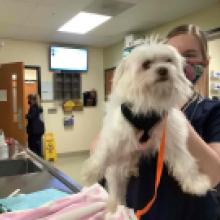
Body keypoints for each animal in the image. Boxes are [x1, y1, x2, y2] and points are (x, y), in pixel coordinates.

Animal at [82, 41, 211, 211]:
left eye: (168, 60)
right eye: (146, 64)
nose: (163, 69)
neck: (151, 101)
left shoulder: (171, 136)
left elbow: (186, 162)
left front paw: (196, 184)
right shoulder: (116, 134)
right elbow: (103, 153)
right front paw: (91, 173)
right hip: (116, 168)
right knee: (116, 189)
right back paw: (115, 207)